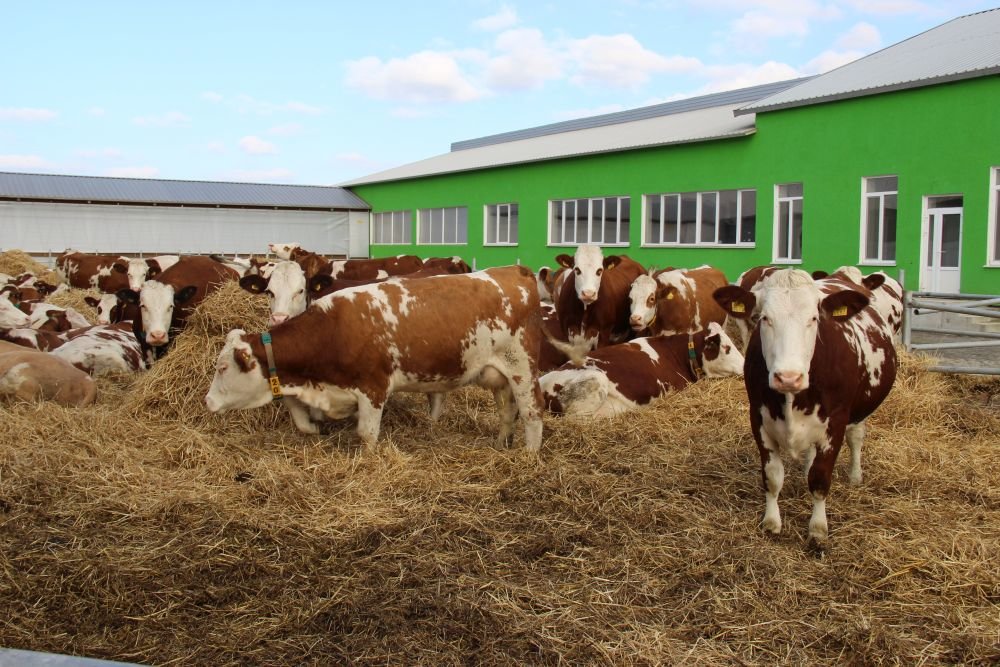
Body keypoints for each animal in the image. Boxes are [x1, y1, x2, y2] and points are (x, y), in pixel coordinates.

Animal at [206, 265, 545, 452]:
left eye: (222, 367)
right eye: (270, 292)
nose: (207, 401)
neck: (332, 330)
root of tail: (513, 271)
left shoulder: (373, 388)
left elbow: (366, 435)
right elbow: (302, 420)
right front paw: (315, 431)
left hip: (523, 367)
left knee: (532, 413)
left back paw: (529, 456)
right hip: (498, 375)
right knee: (507, 412)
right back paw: (500, 446)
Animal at [713, 268, 897, 548]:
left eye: (813, 318)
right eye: (764, 318)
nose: (788, 377)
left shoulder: (836, 423)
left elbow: (820, 480)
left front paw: (817, 529)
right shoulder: (758, 418)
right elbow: (772, 477)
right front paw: (771, 522)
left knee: (856, 437)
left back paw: (855, 475)